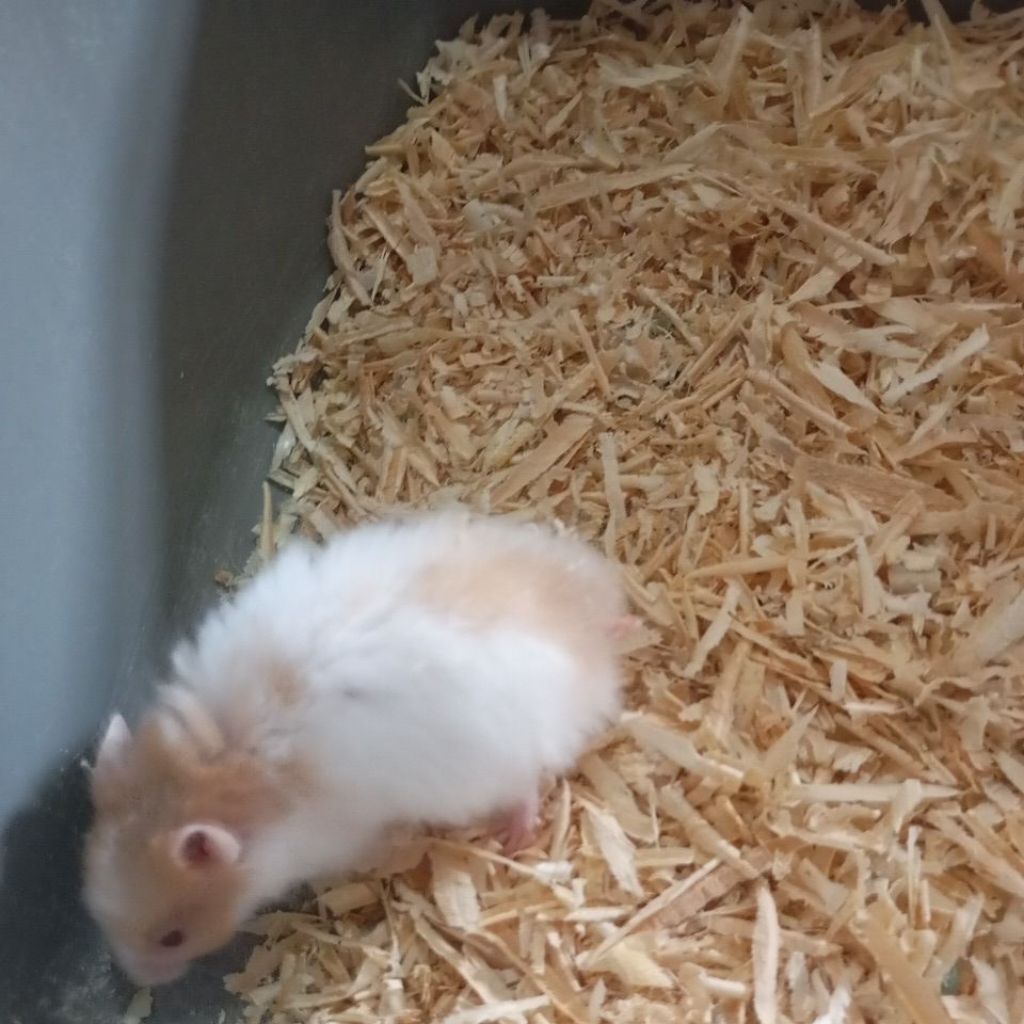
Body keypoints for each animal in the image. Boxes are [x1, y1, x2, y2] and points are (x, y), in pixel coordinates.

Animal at [83, 510, 631, 986]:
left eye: (173, 937)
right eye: (94, 910)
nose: (139, 980)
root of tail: (588, 629)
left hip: (496, 760)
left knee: (527, 785)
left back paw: (515, 836)